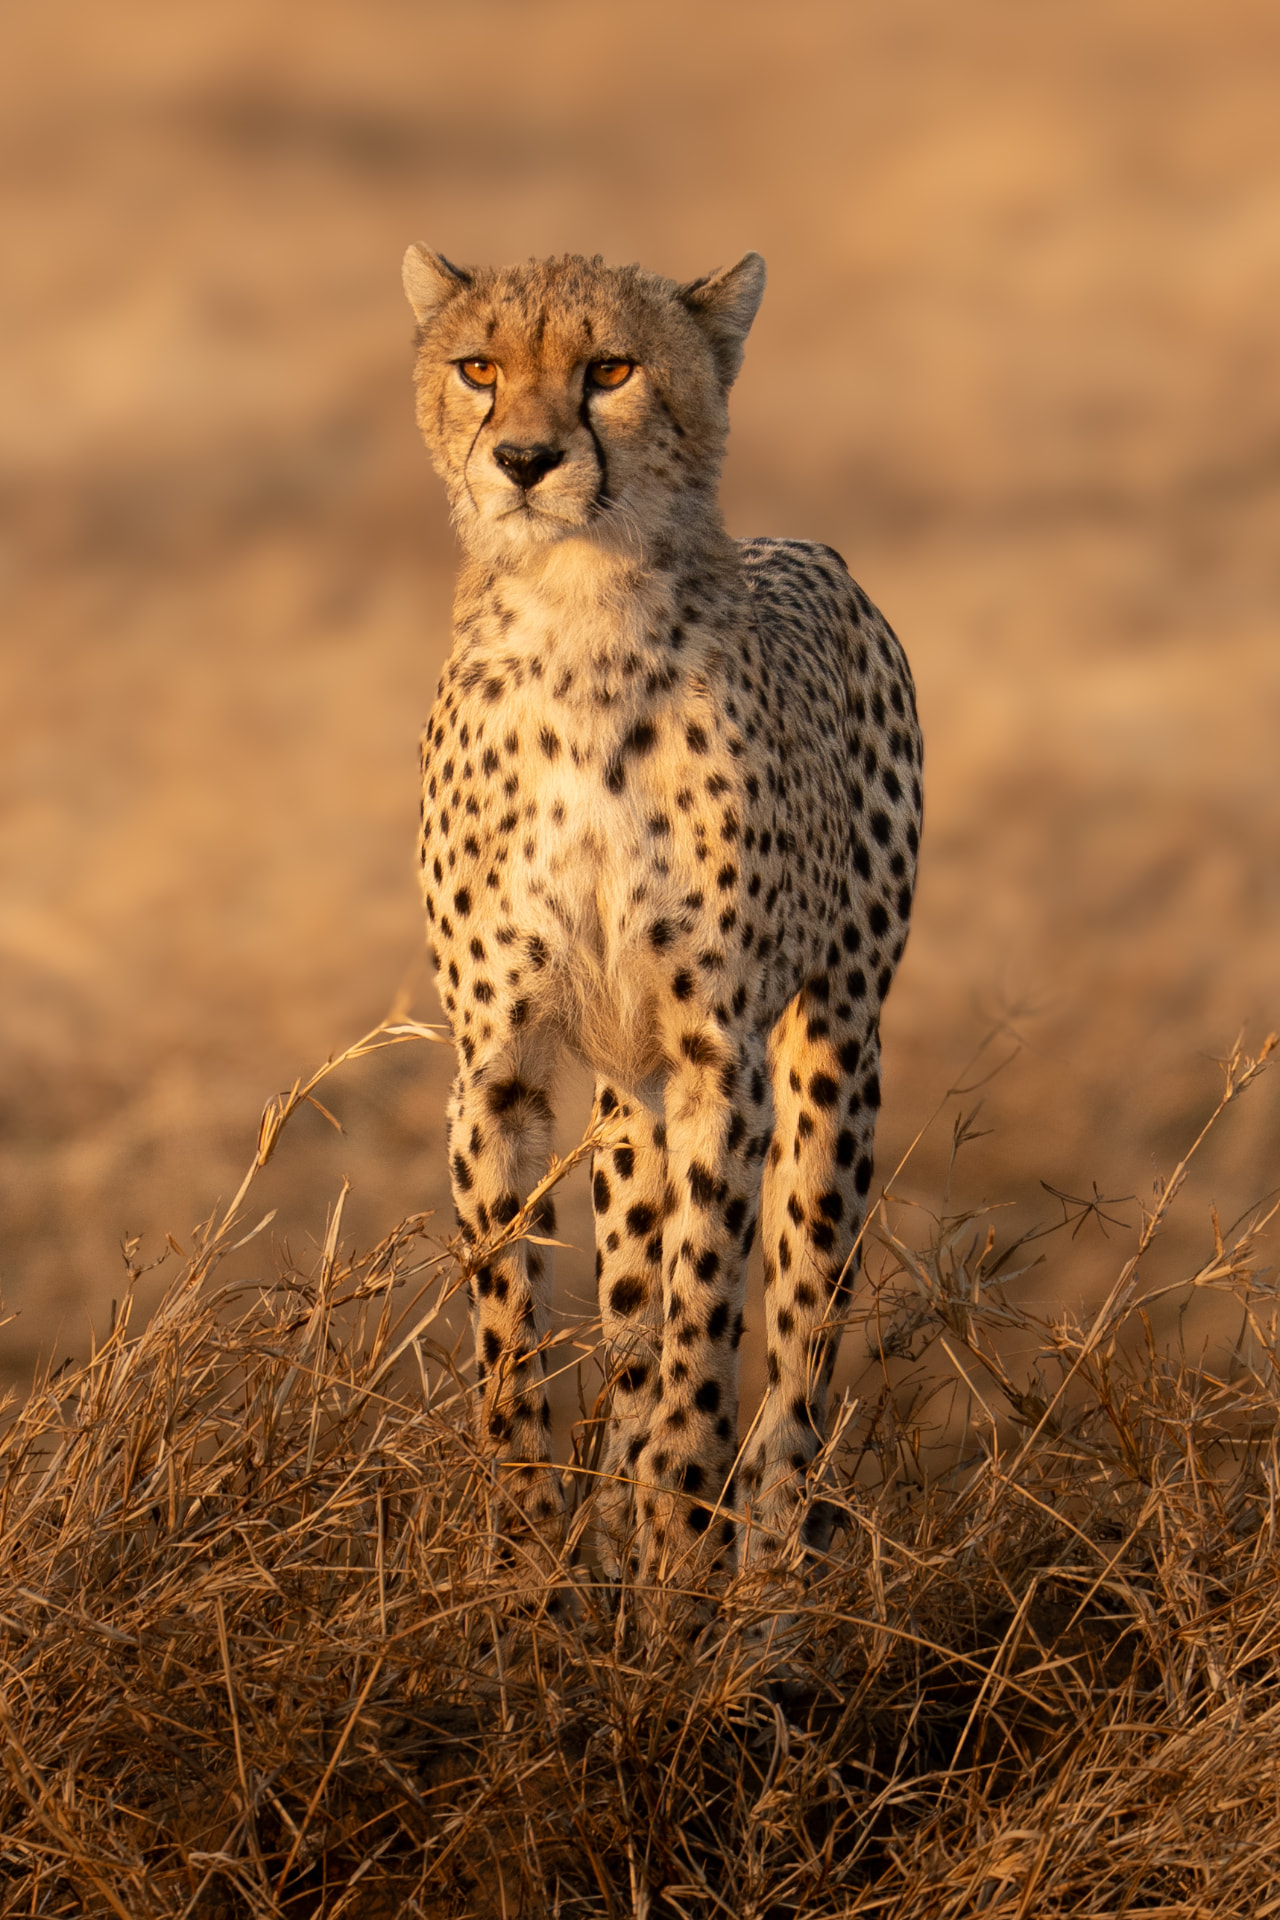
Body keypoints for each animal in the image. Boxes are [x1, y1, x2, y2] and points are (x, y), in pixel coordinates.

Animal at [403, 245, 922, 1586]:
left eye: (610, 369)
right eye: (478, 366)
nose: (523, 460)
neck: (580, 612)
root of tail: (808, 547)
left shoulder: (717, 1058)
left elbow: (702, 1341)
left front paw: (679, 1566)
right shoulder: (501, 1065)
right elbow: (514, 1341)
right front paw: (533, 1572)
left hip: (836, 1052)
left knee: (794, 1366)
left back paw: (767, 1599)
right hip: (621, 1094)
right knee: (631, 1316)